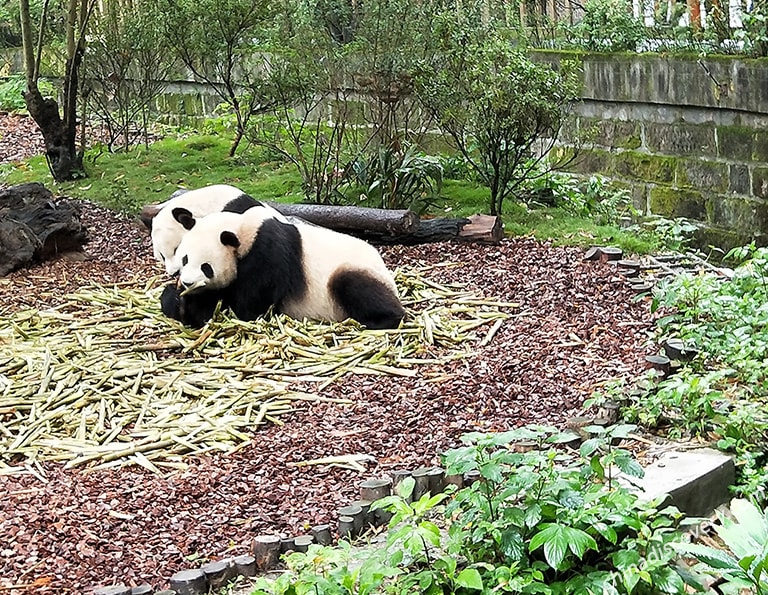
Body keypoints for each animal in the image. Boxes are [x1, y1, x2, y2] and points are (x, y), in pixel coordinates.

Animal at [159, 206, 404, 330]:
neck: (245, 229)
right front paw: (175, 297)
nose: (188, 282)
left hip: (351, 271)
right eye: (184, 259)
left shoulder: (268, 255)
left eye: (206, 267)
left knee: (355, 285)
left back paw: (380, 320)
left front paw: (192, 304)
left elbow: (245, 308)